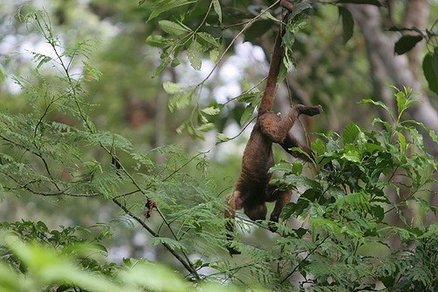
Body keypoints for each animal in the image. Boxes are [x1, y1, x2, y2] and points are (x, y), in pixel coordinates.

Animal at [226, 0, 322, 253]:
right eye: (255, 216)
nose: (260, 218)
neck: (255, 197)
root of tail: (262, 115)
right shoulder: (265, 194)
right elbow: (286, 187)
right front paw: (274, 221)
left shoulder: (245, 195)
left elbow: (230, 204)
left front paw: (231, 245)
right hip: (272, 123)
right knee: (289, 144)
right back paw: (318, 159)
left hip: (266, 123)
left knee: (278, 135)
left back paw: (300, 109)